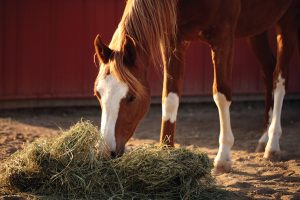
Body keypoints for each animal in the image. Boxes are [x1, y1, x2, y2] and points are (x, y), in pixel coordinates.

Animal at [93, 0, 298, 172]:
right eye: (98, 94)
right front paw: (166, 151)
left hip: (287, 21)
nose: (106, 151)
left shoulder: (223, 38)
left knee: (279, 79)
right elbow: (170, 97)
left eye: (131, 97)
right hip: (257, 27)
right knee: (268, 70)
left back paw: (273, 144)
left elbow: (221, 95)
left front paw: (223, 157)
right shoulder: (173, 41)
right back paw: (264, 137)